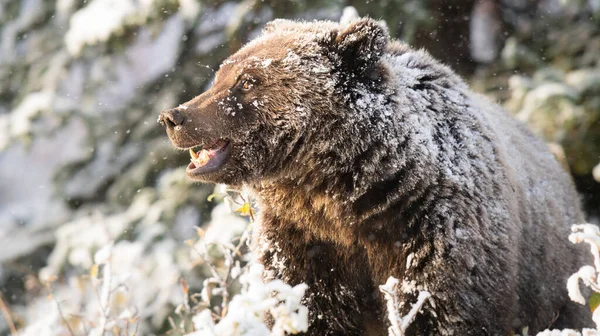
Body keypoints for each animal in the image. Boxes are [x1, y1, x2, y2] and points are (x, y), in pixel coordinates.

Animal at [158, 19, 592, 336]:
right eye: (222, 73)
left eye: (248, 81)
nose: (174, 116)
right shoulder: (303, 244)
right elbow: (306, 309)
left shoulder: (435, 238)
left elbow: (442, 312)